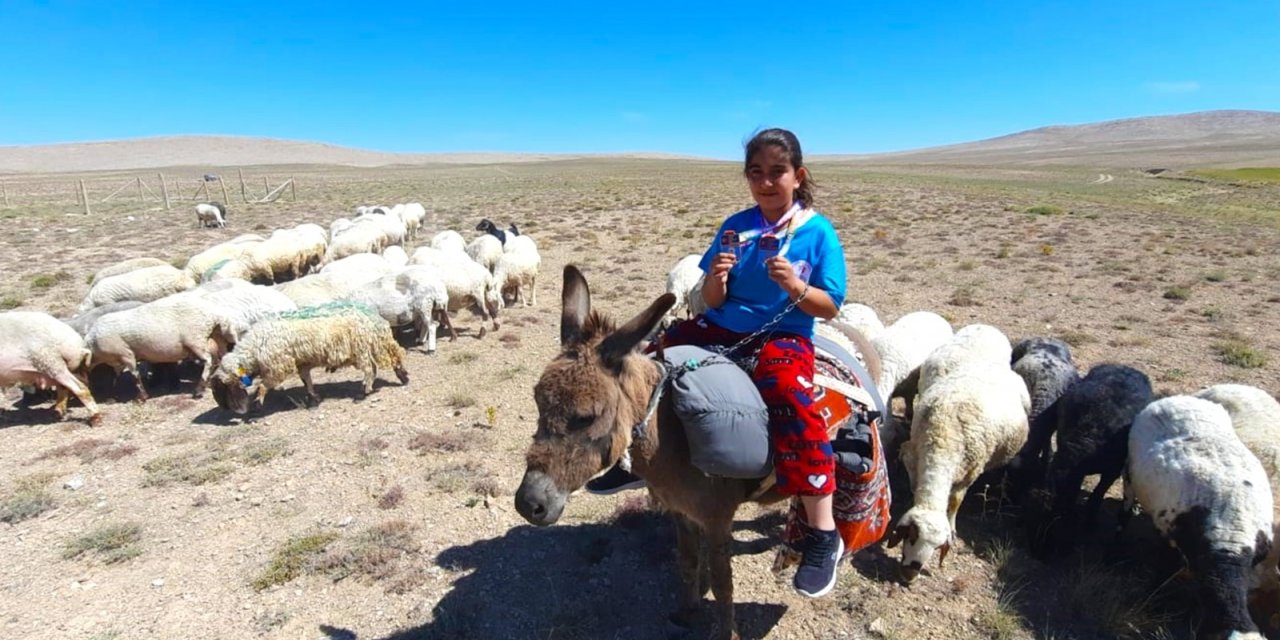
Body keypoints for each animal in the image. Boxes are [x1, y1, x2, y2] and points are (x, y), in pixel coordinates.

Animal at [86, 295, 236, 399]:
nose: (98, 394)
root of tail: (214, 313)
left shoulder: (125, 353)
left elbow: (135, 374)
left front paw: (142, 397)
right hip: (216, 336)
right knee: (222, 357)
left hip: (195, 339)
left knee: (209, 361)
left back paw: (198, 390)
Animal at [209, 302, 407, 412]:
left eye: (223, 387)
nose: (230, 410)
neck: (255, 348)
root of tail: (373, 317)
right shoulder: (302, 362)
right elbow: (306, 380)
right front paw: (313, 399)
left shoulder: (278, 366)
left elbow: (265, 385)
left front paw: (258, 402)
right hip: (369, 346)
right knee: (389, 358)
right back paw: (402, 376)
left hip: (360, 349)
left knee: (370, 369)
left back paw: (363, 392)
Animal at [890, 363, 1029, 583]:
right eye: (911, 536)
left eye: (937, 548)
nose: (908, 575)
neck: (942, 440)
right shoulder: (913, 456)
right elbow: (915, 486)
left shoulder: (969, 472)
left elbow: (955, 501)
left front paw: (952, 525)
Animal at [1024, 366, 1157, 555]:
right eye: (1032, 513)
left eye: (1057, 519)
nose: (1038, 552)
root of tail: (1124, 367)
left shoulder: (1112, 471)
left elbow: (1098, 494)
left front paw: (1091, 522)